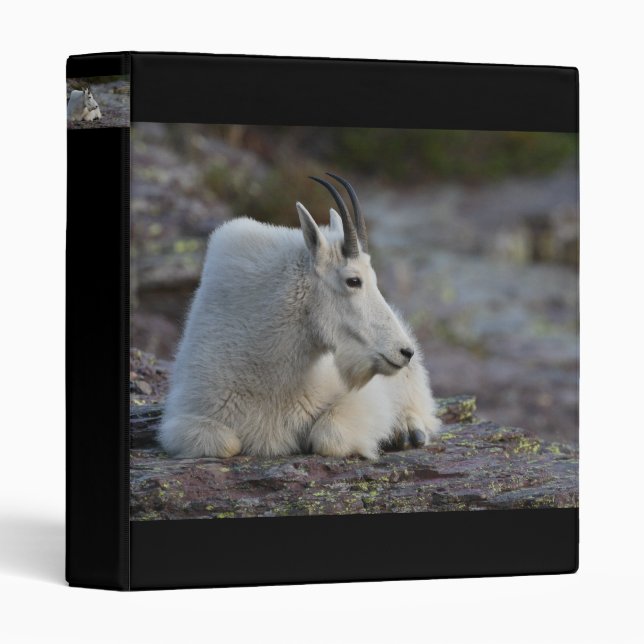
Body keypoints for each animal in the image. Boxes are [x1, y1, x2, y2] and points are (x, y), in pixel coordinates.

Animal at [160, 173, 440, 459]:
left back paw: (408, 431)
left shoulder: (363, 399)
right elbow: (227, 443)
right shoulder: (183, 418)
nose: (404, 351)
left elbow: (327, 437)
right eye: (353, 280)